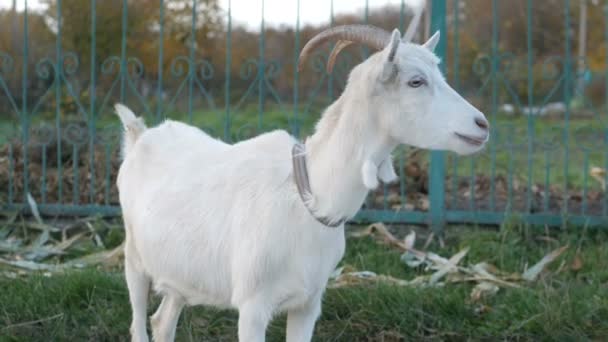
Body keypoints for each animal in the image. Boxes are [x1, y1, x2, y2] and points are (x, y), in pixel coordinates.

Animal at [116, 12, 490, 342]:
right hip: (134, 257)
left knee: (163, 321)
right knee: (138, 322)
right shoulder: (252, 307)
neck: (309, 195)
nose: (482, 124)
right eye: (416, 81)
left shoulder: (308, 304)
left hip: (180, 271)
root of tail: (139, 135)